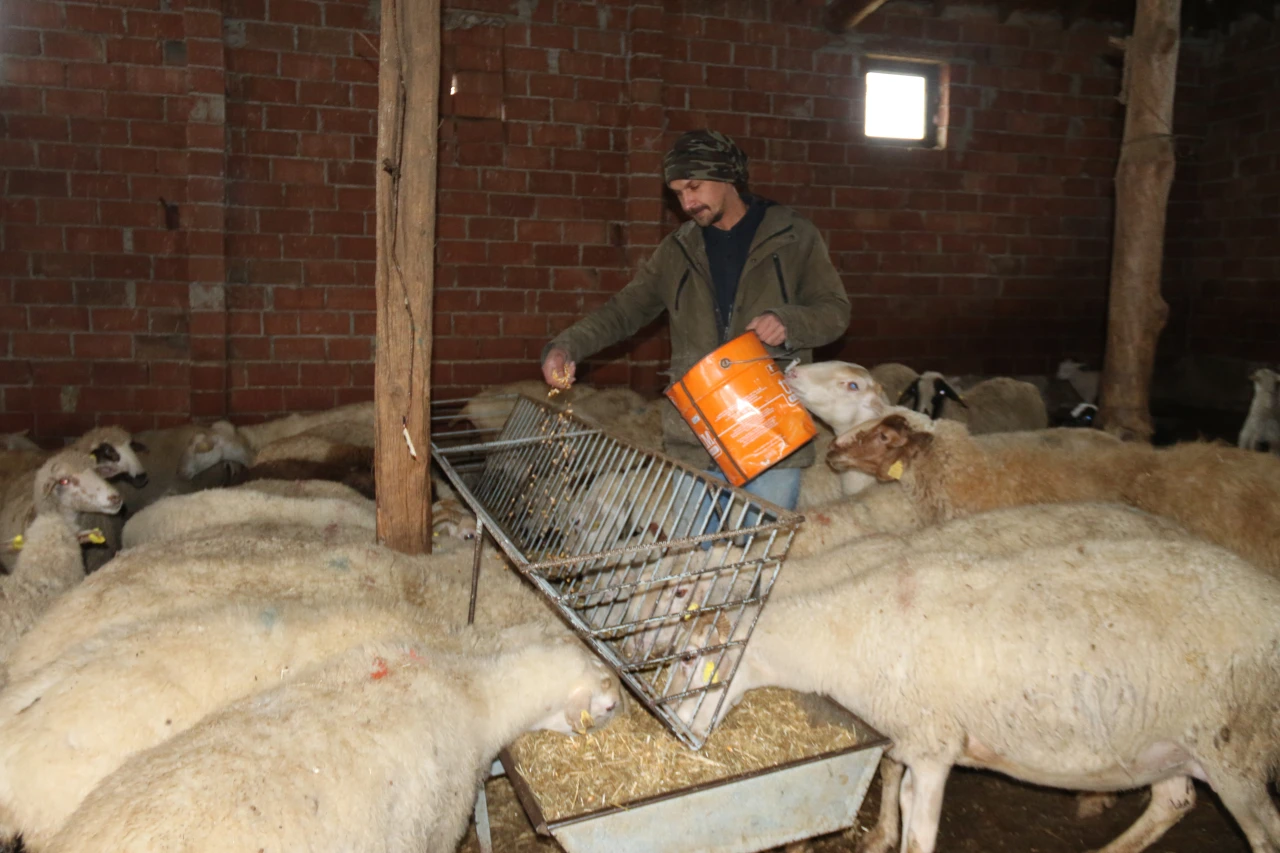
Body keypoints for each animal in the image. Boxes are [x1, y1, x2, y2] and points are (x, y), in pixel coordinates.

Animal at [686, 532, 1280, 850]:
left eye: (695, 661)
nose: (684, 743)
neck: (847, 628)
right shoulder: (909, 743)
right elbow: (900, 800)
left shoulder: (933, 747)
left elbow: (921, 835)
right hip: (1168, 741)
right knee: (1173, 800)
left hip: (1237, 750)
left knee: (1263, 834)